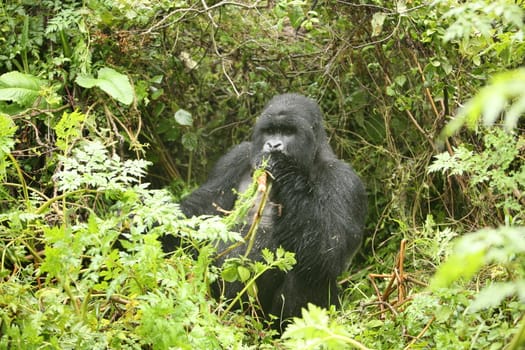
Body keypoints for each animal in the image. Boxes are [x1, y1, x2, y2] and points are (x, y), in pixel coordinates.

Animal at [176, 93, 364, 328]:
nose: (273, 145)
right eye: (270, 130)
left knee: (310, 270)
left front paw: (283, 167)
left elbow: (329, 251)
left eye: (289, 132)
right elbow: (200, 210)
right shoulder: (235, 157)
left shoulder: (344, 180)